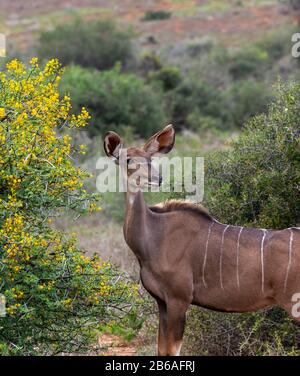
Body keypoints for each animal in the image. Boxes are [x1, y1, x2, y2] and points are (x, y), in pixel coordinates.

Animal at [103, 125, 300, 356]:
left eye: (150, 158)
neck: (154, 236)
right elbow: (162, 349)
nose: (157, 179)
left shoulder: (179, 299)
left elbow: (173, 350)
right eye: (128, 159)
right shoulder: (162, 301)